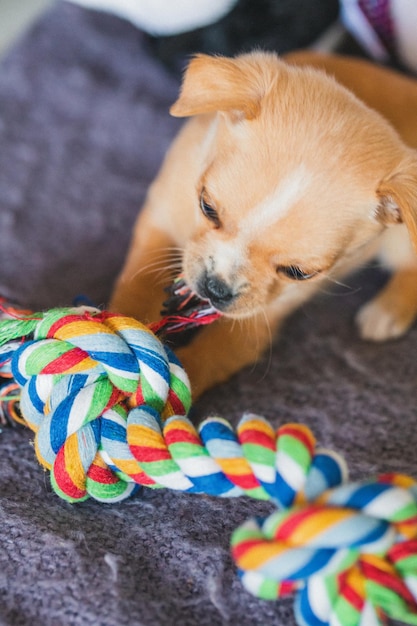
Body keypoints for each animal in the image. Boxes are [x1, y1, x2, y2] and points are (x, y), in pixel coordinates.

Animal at [109, 52, 416, 394]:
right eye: (207, 207)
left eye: (299, 273)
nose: (215, 288)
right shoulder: (161, 216)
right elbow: (139, 284)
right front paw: (120, 333)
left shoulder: (257, 320)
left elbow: (201, 361)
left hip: (401, 239)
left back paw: (387, 311)